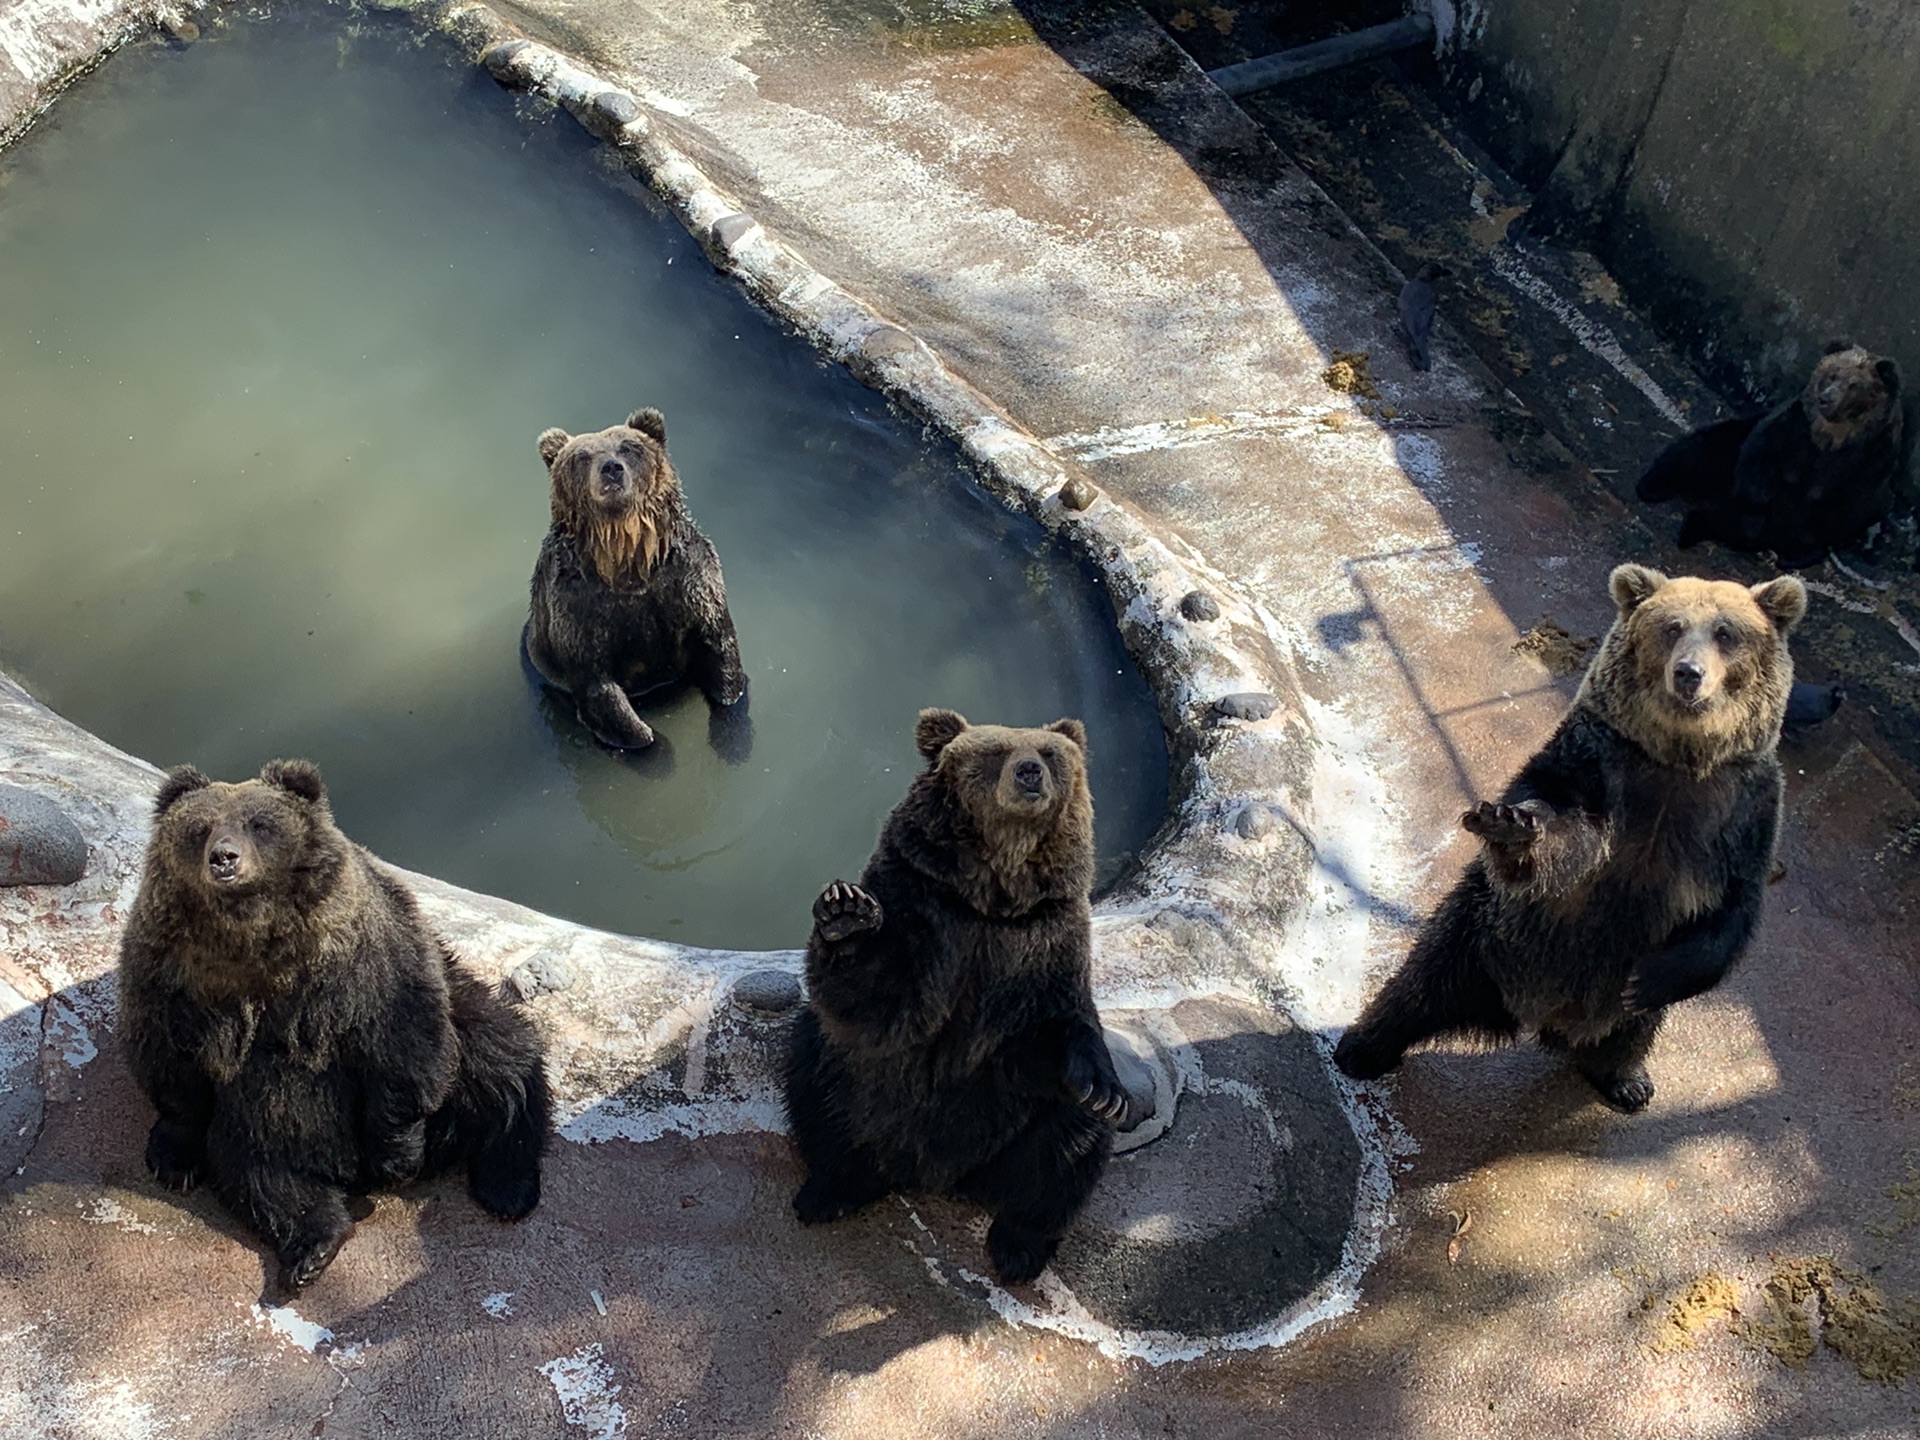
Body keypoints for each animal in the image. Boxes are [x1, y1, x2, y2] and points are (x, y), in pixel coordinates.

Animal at [118, 760, 549, 1290]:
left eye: (260, 823)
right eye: (199, 828)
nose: (224, 857)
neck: (251, 940)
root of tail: (348, 1173)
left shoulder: (360, 954)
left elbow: (400, 1041)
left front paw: (396, 1158)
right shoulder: (172, 971)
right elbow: (169, 1059)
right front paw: (174, 1158)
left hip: (460, 1017)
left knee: (499, 1058)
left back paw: (507, 1183)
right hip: (262, 1119)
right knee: (262, 1168)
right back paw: (313, 1247)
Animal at [526, 407, 748, 756]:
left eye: (628, 447)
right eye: (582, 456)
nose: (611, 469)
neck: (625, 554)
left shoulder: (688, 581)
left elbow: (720, 644)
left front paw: (730, 717)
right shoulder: (577, 606)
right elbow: (597, 681)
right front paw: (647, 742)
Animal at [1328, 568, 1804, 1113]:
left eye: (1725, 633)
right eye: (1672, 627)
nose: (1689, 673)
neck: (1678, 763)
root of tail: (1540, 1016)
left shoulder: (1742, 812)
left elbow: (1731, 910)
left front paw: (1647, 981)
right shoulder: (1597, 766)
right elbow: (1563, 834)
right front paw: (1508, 824)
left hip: (1602, 997)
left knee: (1634, 1032)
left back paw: (1626, 1079)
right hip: (1486, 939)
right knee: (1421, 985)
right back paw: (1362, 1048)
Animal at [1635, 341, 1904, 568]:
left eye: (1854, 385)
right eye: (1832, 375)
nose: (1826, 398)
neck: (1832, 437)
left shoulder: (1868, 462)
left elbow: (1840, 507)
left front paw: (1800, 551)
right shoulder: (1793, 430)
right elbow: (1761, 461)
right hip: (1725, 449)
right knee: (1696, 452)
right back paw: (1656, 489)